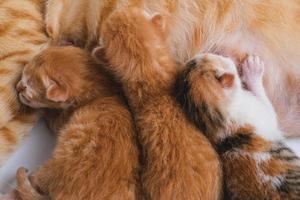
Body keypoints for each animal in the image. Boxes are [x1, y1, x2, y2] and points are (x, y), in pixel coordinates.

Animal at [2, 46, 142, 200]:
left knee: (34, 181)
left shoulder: (62, 120)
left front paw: (44, 110)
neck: (103, 91)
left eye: (27, 87)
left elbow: (53, 119)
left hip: (56, 164)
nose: (18, 87)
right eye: (22, 76)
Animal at [176, 53, 300, 200]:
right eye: (218, 57)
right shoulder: (262, 112)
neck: (218, 124)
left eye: (205, 56)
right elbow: (265, 102)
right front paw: (252, 69)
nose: (223, 54)